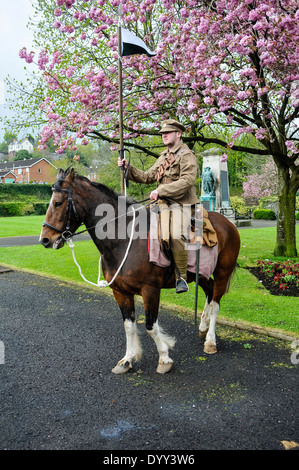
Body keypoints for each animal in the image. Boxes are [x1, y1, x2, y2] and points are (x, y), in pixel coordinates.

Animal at [39, 168, 241, 374]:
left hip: (223, 272)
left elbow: (151, 326)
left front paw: (164, 358)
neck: (123, 240)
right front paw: (127, 359)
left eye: (58, 203)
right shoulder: (120, 292)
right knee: (210, 292)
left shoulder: (150, 290)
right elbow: (129, 325)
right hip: (202, 274)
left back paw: (210, 340)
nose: (45, 239)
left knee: (215, 303)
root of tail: (228, 223)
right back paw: (203, 327)